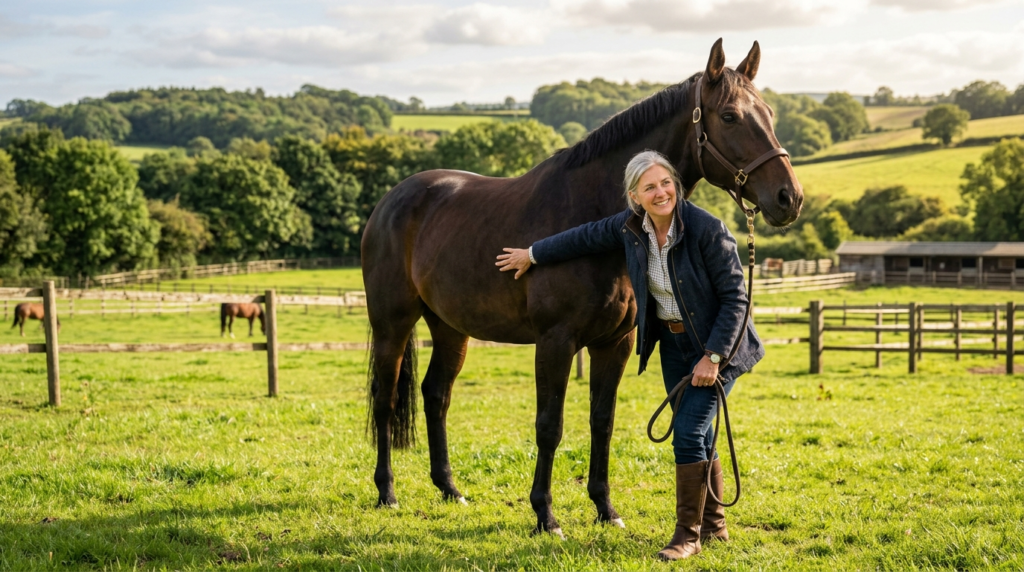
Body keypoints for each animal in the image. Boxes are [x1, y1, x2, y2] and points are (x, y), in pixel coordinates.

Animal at [361, 39, 804, 536]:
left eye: (768, 112)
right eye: (729, 116)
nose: (789, 198)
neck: (590, 210)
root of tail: (390, 201)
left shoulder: (615, 343)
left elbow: (601, 422)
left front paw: (605, 509)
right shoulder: (555, 342)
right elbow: (549, 425)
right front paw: (545, 515)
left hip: (450, 327)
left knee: (436, 395)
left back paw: (450, 489)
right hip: (393, 324)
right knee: (384, 399)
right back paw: (387, 492)